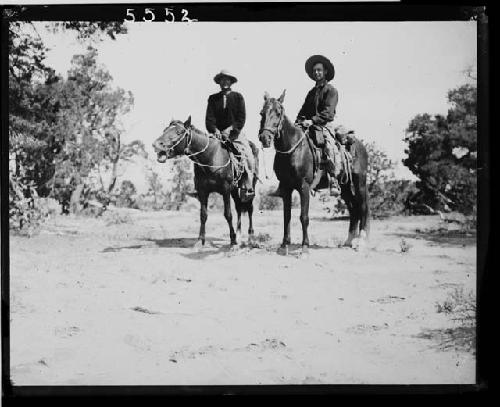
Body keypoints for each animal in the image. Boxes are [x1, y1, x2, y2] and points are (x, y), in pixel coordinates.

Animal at [152, 115, 258, 249]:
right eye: (164, 130)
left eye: (179, 132)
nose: (156, 144)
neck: (211, 157)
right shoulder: (203, 191)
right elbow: (203, 215)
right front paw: (200, 241)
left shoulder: (225, 190)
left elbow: (228, 214)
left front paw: (232, 240)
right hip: (235, 190)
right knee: (239, 207)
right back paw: (239, 235)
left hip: (249, 188)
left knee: (249, 208)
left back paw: (251, 237)